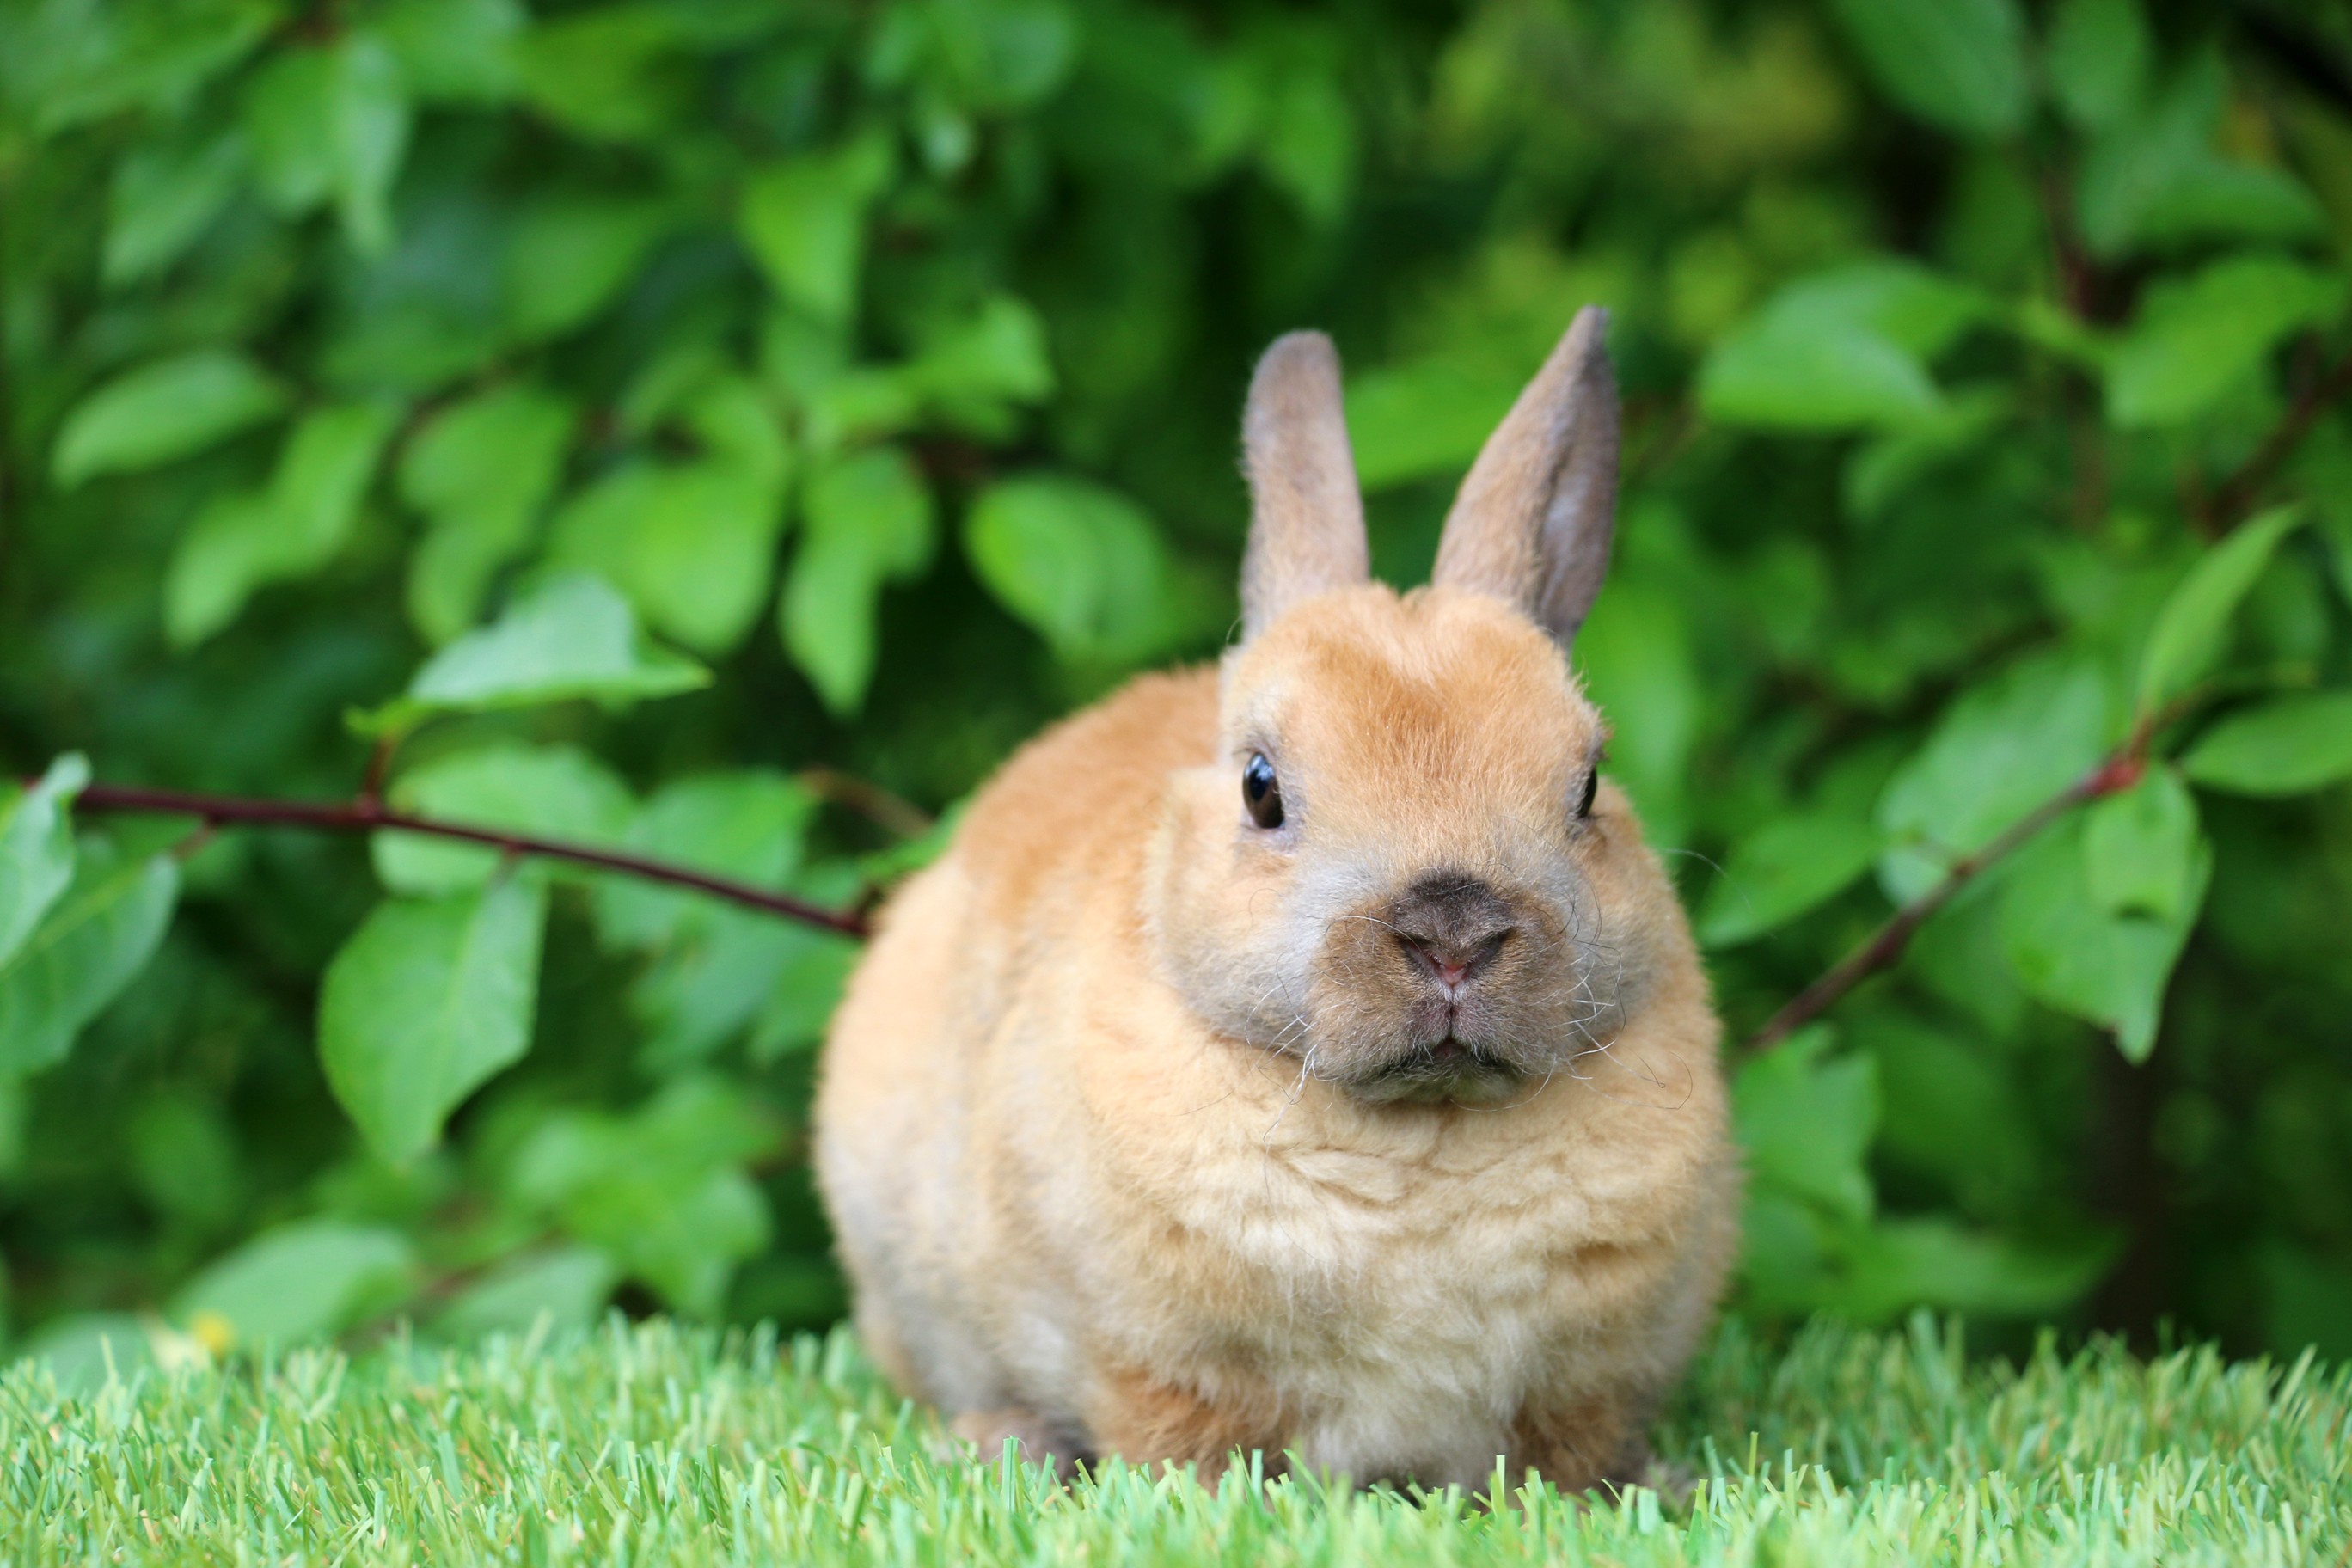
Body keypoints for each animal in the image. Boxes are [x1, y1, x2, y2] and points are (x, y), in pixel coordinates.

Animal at [818, 305, 1740, 1495]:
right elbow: (1179, 1447)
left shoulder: (1588, 1385)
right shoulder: (1154, 1362)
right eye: (1262, 789)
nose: (1453, 932)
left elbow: (1568, 1456)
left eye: (1586, 787)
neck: (1421, 1140)